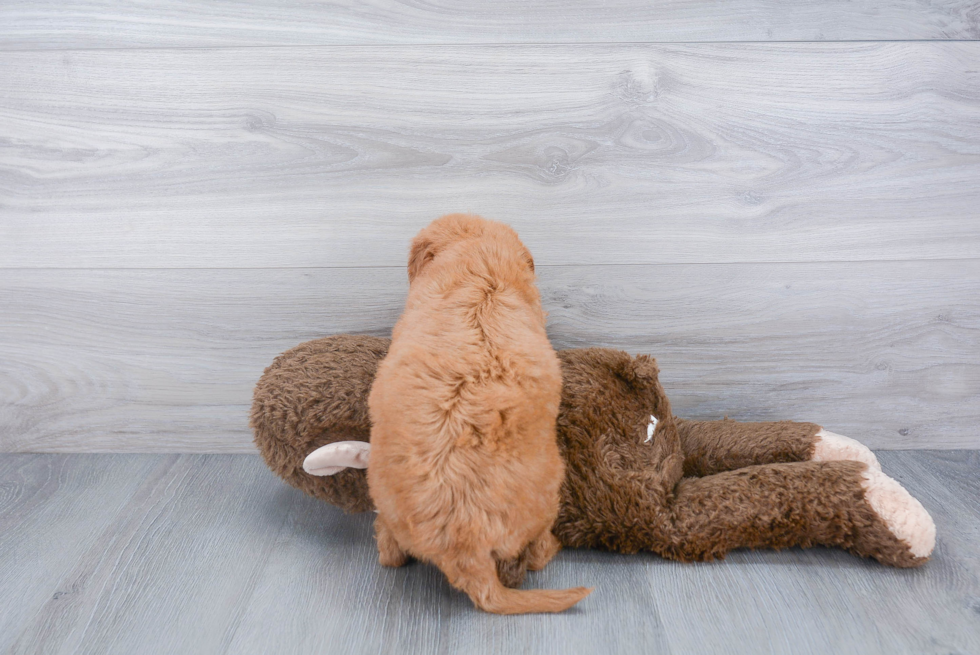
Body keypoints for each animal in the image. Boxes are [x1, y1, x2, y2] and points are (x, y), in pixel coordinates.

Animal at [366, 214, 588, 616]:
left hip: (384, 497)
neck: (477, 262)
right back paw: (549, 548)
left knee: (391, 548)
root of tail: (465, 550)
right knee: (535, 553)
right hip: (548, 493)